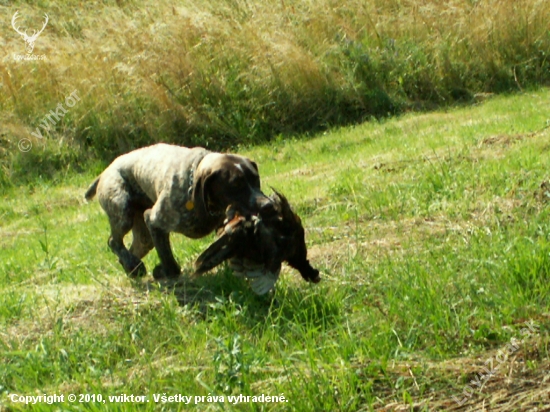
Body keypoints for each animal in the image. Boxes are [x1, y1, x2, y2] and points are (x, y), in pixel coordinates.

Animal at [85, 142, 320, 284]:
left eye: (256, 179)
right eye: (235, 185)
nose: (267, 205)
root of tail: (105, 170)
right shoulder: (153, 220)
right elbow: (169, 260)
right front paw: (168, 272)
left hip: (143, 239)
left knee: (132, 247)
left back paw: (131, 267)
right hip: (123, 212)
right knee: (113, 241)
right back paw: (133, 264)